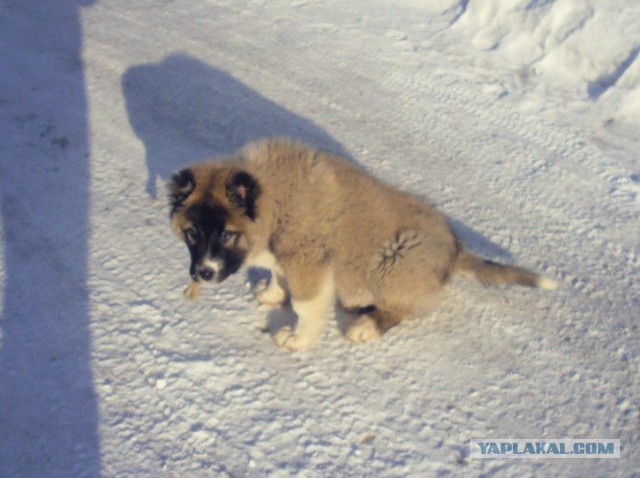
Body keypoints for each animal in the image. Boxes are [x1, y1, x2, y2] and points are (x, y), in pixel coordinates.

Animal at [169, 138, 556, 352]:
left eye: (225, 235)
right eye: (193, 233)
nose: (203, 273)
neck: (272, 196)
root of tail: (454, 248)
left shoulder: (308, 260)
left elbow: (307, 307)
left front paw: (298, 340)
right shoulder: (289, 255)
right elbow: (279, 276)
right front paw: (273, 293)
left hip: (393, 261)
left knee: (403, 308)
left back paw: (366, 325)